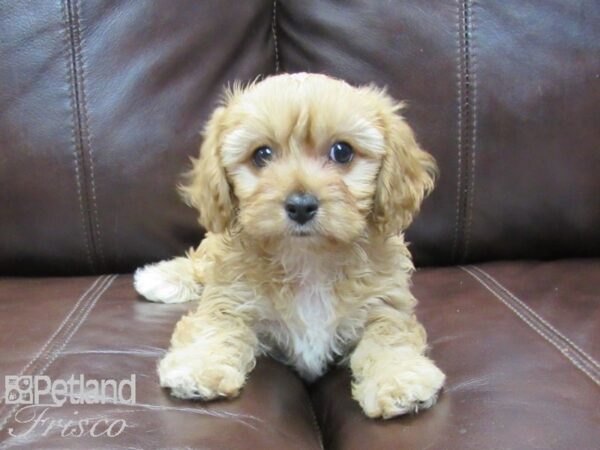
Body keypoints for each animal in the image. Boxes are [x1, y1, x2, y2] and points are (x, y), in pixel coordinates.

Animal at [136, 73, 446, 418]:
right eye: (262, 154)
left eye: (342, 151)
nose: (300, 205)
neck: (308, 257)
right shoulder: (231, 297)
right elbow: (215, 326)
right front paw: (199, 368)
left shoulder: (386, 305)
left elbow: (388, 338)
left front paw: (399, 379)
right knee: (200, 262)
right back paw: (160, 277)